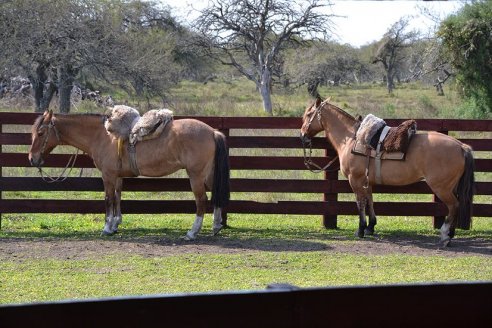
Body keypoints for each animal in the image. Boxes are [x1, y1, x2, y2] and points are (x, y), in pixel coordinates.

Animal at [28, 109, 231, 240]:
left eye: (41, 133)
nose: (32, 159)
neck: (103, 136)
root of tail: (212, 131)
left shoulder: (108, 176)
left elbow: (108, 199)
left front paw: (107, 227)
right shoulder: (117, 176)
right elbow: (118, 198)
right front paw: (116, 224)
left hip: (196, 175)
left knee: (201, 200)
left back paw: (192, 232)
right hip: (208, 174)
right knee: (216, 194)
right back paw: (216, 226)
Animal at [300, 97, 472, 246]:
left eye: (308, 114)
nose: (302, 135)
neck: (352, 138)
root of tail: (461, 146)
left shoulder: (355, 180)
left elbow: (360, 203)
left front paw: (360, 230)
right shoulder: (366, 181)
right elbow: (370, 200)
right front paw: (370, 227)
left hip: (441, 188)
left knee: (454, 206)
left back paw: (445, 235)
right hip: (451, 187)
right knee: (457, 206)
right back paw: (450, 234)